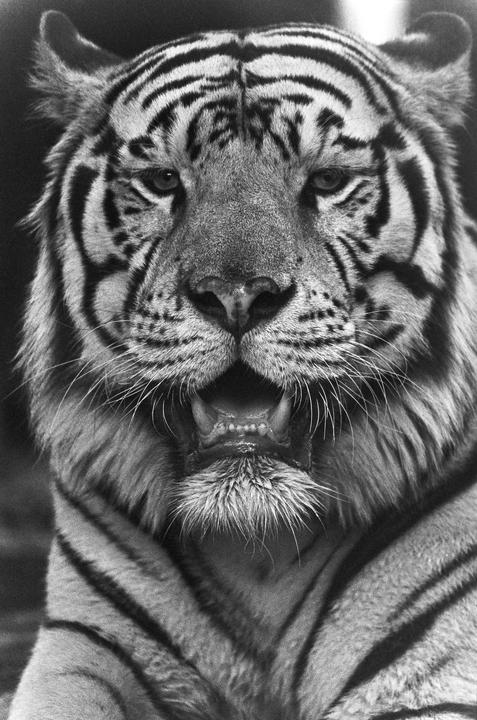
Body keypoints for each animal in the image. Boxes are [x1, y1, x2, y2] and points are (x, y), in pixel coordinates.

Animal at [6, 7, 477, 719]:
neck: (259, 548)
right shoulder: (84, 645)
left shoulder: (431, 667)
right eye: (163, 182)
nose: (236, 295)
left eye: (328, 182)